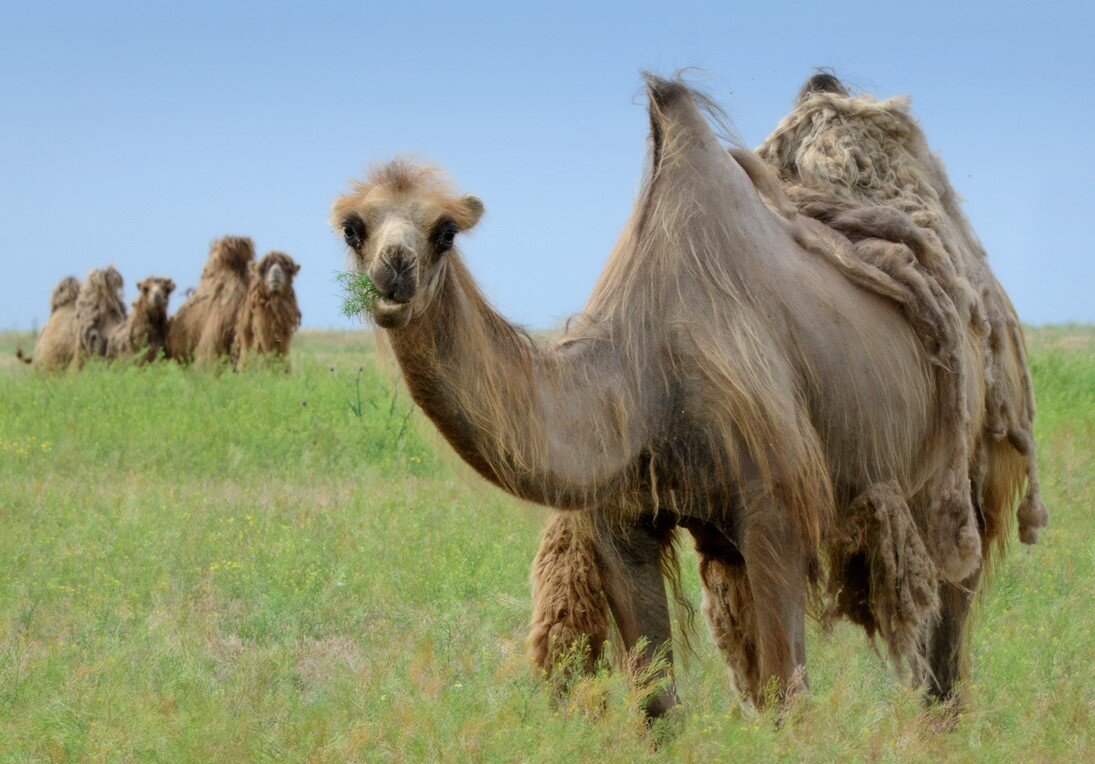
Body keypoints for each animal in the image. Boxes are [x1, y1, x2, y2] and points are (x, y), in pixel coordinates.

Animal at [330, 74, 1042, 718]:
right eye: (353, 228)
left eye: (445, 230)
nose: (394, 270)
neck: (640, 376)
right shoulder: (622, 520)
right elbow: (656, 700)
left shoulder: (777, 513)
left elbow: (788, 698)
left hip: (960, 474)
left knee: (945, 645)